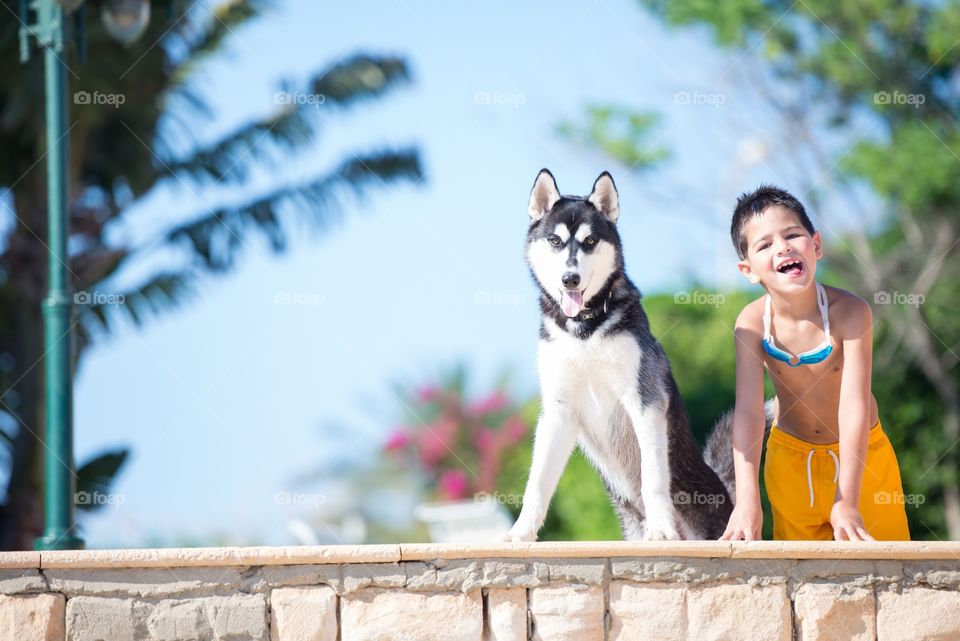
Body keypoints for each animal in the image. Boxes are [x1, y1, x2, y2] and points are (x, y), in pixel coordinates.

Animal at [510, 170, 736, 540]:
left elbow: (653, 477)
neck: (584, 330)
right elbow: (537, 484)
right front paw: (520, 533)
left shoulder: (644, 400)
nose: (570, 279)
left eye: (589, 242)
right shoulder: (558, 411)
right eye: (556, 241)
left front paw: (662, 530)